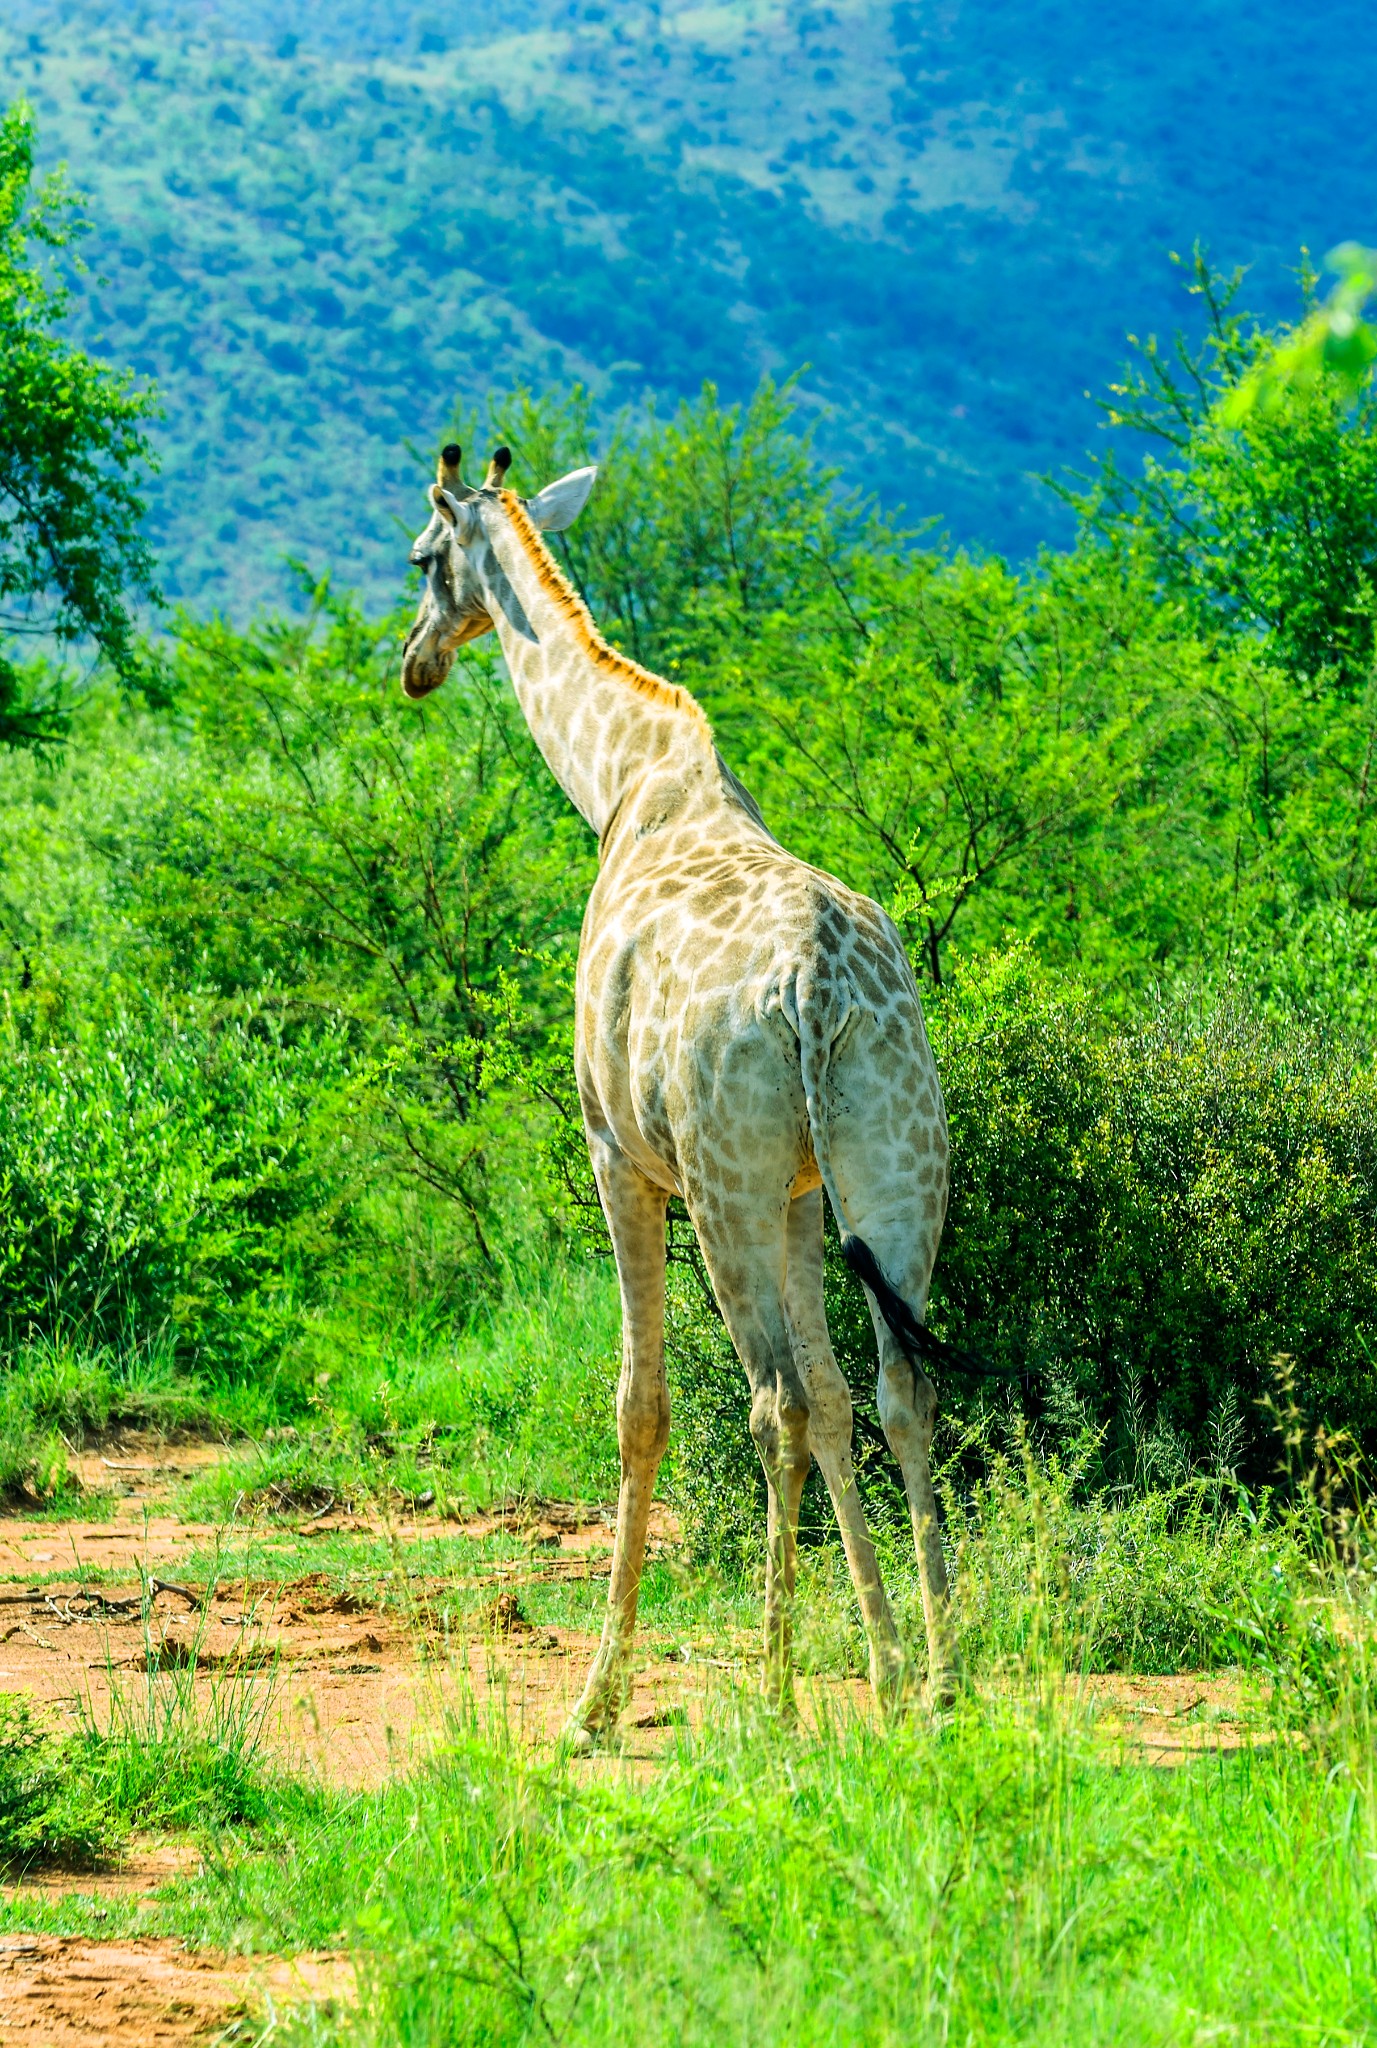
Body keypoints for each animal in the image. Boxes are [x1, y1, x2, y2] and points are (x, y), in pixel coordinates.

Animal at [397, 440, 958, 1736]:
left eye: (421, 556)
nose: (414, 661)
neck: (622, 777)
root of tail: (814, 982)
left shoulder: (618, 1155)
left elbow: (640, 1403)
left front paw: (595, 1700)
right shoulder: (803, 1192)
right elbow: (842, 1397)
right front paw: (884, 1661)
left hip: (721, 1181)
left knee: (771, 1399)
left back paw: (782, 1689)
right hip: (895, 1165)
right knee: (895, 1384)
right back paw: (943, 1676)